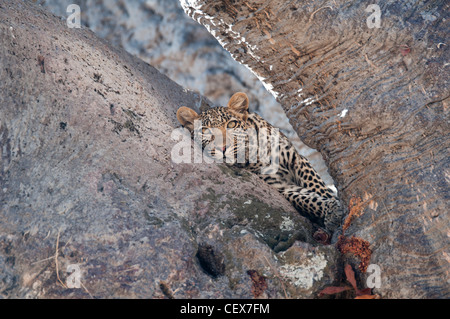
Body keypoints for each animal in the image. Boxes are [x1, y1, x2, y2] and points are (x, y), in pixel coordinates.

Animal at [177, 92, 344, 235]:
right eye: (205, 131)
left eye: (231, 125)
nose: (223, 148)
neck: (254, 153)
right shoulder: (279, 185)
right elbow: (308, 199)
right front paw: (332, 211)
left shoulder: (296, 159)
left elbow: (317, 187)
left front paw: (336, 206)